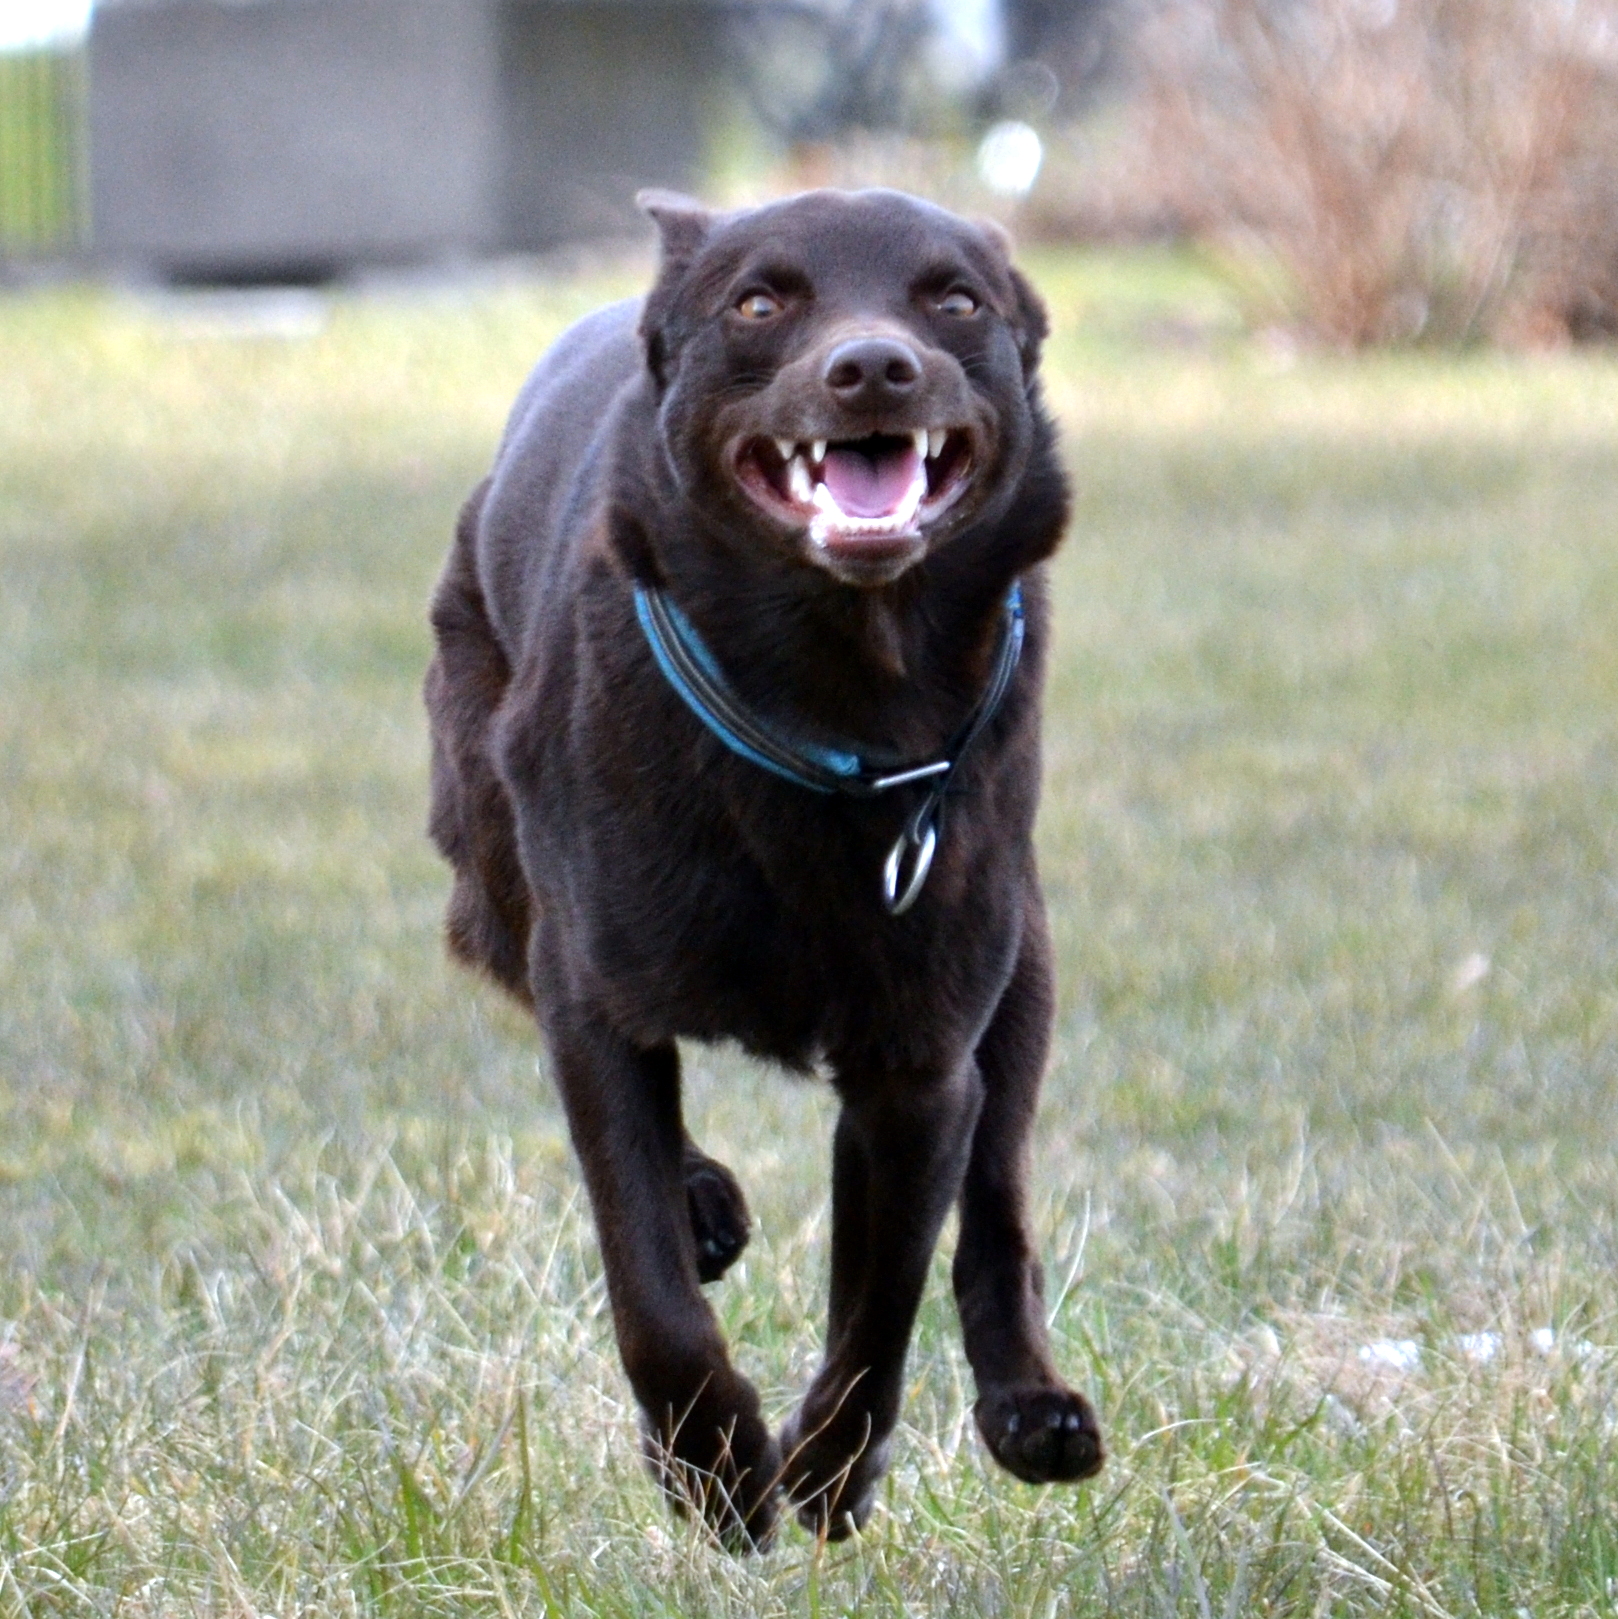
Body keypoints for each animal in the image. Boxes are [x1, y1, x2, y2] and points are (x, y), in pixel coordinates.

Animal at [424, 187, 1103, 1546]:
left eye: (954, 299)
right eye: (758, 302)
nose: (873, 367)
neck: (833, 694)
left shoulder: (919, 1061)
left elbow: (881, 1298)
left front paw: (829, 1469)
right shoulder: (591, 990)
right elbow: (644, 1265)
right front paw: (714, 1466)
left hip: (1023, 967)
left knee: (995, 1203)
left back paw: (1028, 1406)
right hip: (487, 849)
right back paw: (708, 1209)